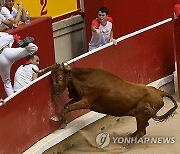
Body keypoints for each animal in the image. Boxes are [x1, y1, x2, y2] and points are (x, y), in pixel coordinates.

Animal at [34, 62, 178, 138]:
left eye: (59, 77)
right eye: (51, 76)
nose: (55, 92)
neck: (84, 79)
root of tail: (159, 92)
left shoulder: (86, 102)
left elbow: (68, 107)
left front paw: (61, 123)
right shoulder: (78, 98)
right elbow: (66, 106)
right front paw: (59, 118)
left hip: (141, 114)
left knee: (142, 131)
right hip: (141, 116)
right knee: (143, 128)